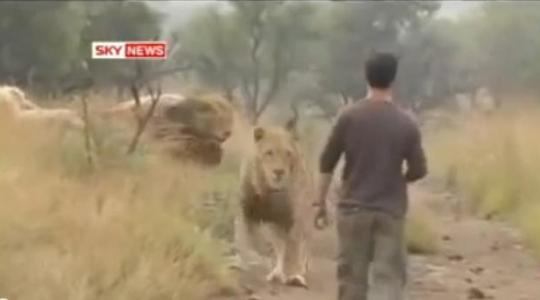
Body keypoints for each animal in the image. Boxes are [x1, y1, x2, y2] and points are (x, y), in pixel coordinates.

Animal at [234, 116, 314, 288]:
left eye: (288, 154)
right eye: (269, 153)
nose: (279, 172)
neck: (269, 191)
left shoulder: (294, 218)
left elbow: (294, 248)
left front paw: (294, 276)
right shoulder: (246, 209)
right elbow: (243, 238)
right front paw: (241, 262)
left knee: (299, 246)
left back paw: (293, 272)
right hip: (272, 227)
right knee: (280, 246)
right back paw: (276, 273)